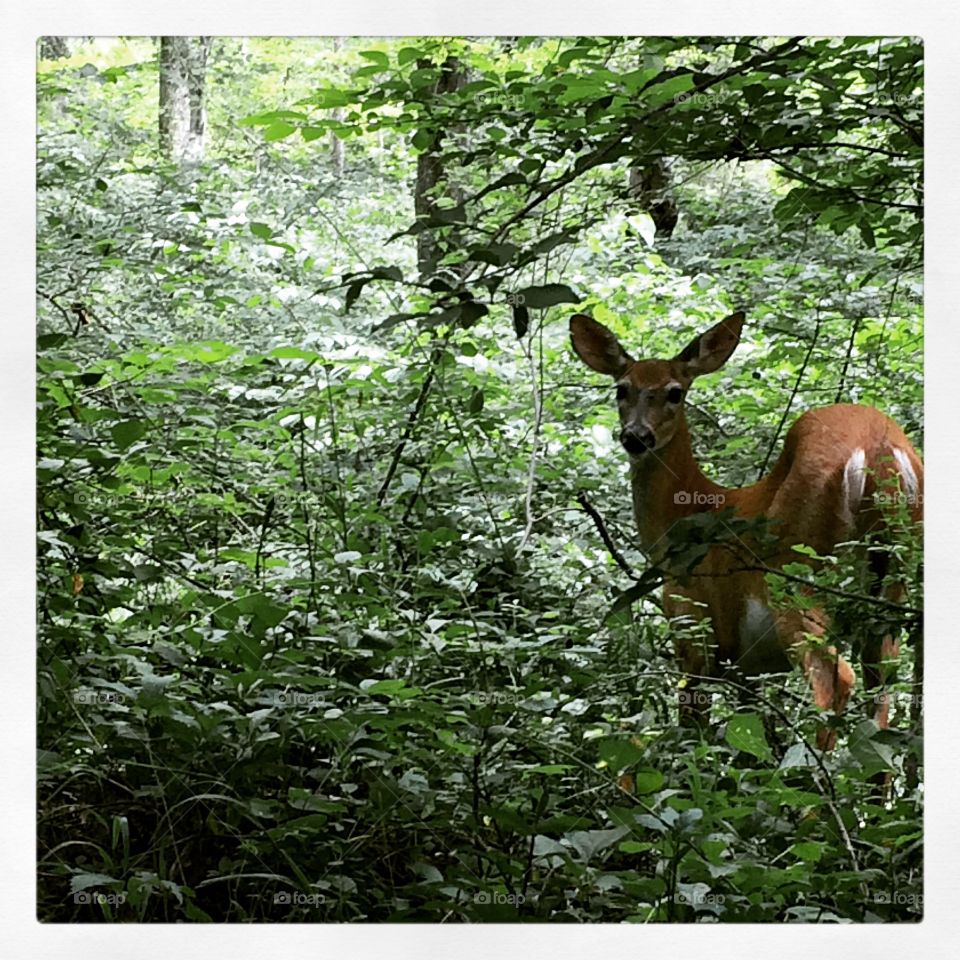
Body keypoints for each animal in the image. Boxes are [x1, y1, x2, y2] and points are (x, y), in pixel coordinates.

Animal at [570, 310, 923, 751]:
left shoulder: (692, 625)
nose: (636, 436)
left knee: (836, 680)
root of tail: (879, 452)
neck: (685, 516)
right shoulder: (750, 667)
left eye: (674, 393)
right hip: (894, 588)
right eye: (622, 388)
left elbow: (695, 727)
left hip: (798, 576)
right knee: (887, 690)